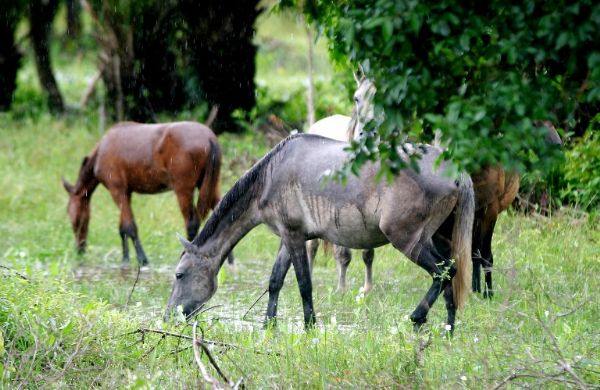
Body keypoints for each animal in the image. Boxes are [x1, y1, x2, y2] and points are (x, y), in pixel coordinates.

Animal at [62, 121, 225, 268]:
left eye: (75, 220)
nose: (80, 249)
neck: (101, 151)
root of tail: (210, 138)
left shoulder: (117, 191)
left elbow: (130, 227)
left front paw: (142, 259)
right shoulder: (126, 193)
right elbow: (123, 228)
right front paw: (125, 258)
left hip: (184, 190)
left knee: (191, 224)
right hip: (211, 186)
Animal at [164, 133, 474, 330]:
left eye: (179, 275)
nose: (168, 317)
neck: (270, 175)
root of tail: (454, 169)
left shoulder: (294, 236)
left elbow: (304, 283)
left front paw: (310, 326)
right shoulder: (287, 237)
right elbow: (275, 280)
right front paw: (268, 325)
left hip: (408, 240)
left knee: (444, 272)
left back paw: (417, 317)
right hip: (437, 238)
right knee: (449, 277)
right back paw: (449, 328)